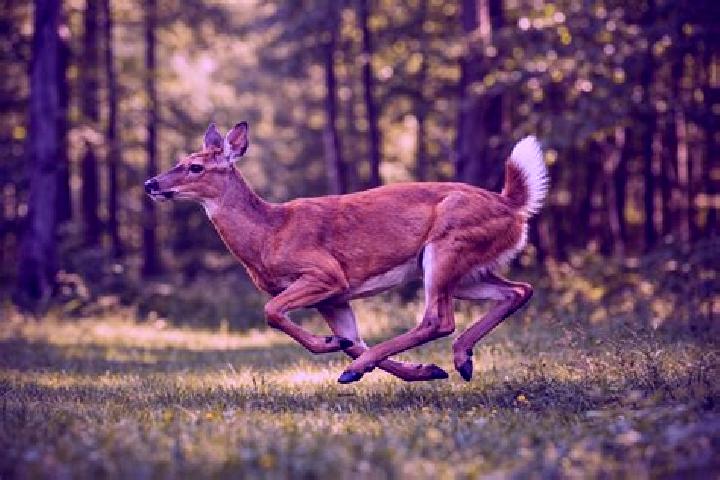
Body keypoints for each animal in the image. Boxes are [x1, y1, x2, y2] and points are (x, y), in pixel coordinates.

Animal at [144, 122, 548, 384]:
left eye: (195, 166)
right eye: (180, 161)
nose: (151, 183)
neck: (268, 235)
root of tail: (512, 205)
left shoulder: (325, 273)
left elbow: (272, 312)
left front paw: (336, 349)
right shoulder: (334, 298)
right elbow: (351, 341)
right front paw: (420, 371)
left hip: (446, 247)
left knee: (439, 319)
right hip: (466, 271)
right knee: (518, 290)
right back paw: (459, 360)